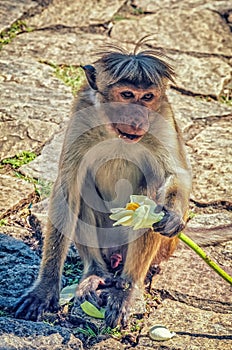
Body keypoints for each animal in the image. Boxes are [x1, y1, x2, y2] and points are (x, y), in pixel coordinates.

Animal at [14, 40, 192, 328]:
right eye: (127, 95)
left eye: (147, 97)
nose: (138, 116)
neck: (116, 132)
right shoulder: (81, 113)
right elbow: (67, 188)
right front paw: (45, 288)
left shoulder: (163, 116)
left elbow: (176, 175)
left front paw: (173, 216)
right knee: (82, 190)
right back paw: (96, 273)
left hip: (163, 248)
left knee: (152, 194)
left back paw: (127, 288)